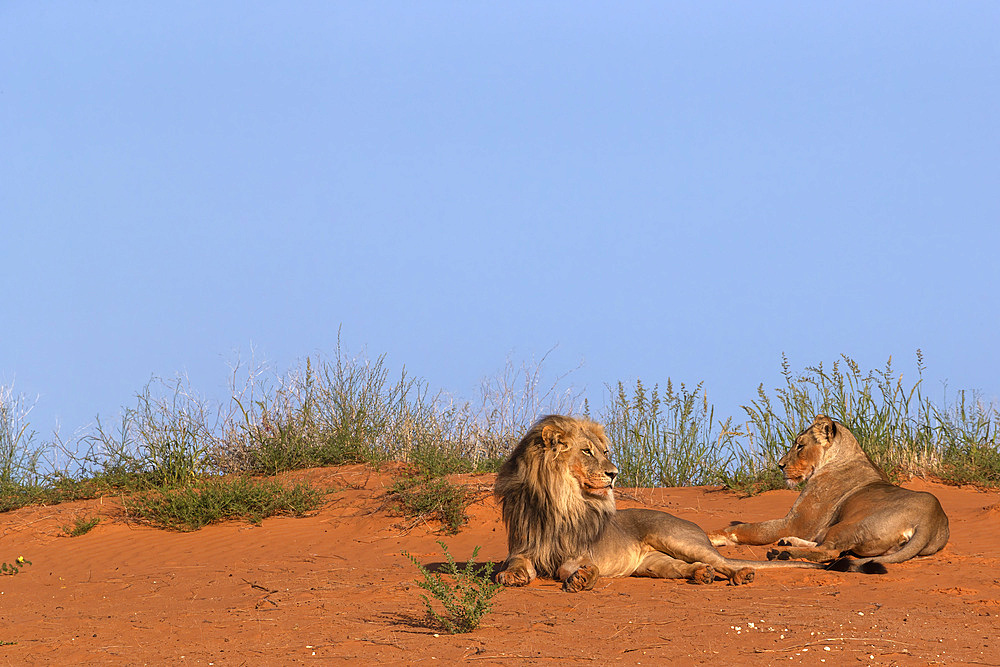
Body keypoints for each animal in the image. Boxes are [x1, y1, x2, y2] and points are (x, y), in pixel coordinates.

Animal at [492, 414, 820, 592]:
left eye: (604, 451)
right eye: (586, 451)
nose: (614, 473)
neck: (558, 501)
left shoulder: (578, 552)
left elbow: (570, 568)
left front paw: (582, 577)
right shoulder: (524, 547)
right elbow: (515, 563)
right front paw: (510, 576)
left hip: (678, 539)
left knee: (723, 563)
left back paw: (742, 574)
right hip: (654, 564)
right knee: (685, 567)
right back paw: (701, 575)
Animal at [708, 412, 948, 576]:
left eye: (800, 446)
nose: (780, 465)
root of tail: (930, 519)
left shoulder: (795, 523)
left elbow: (745, 528)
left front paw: (713, 535)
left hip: (848, 524)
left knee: (831, 552)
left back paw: (783, 553)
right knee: (826, 545)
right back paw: (787, 544)